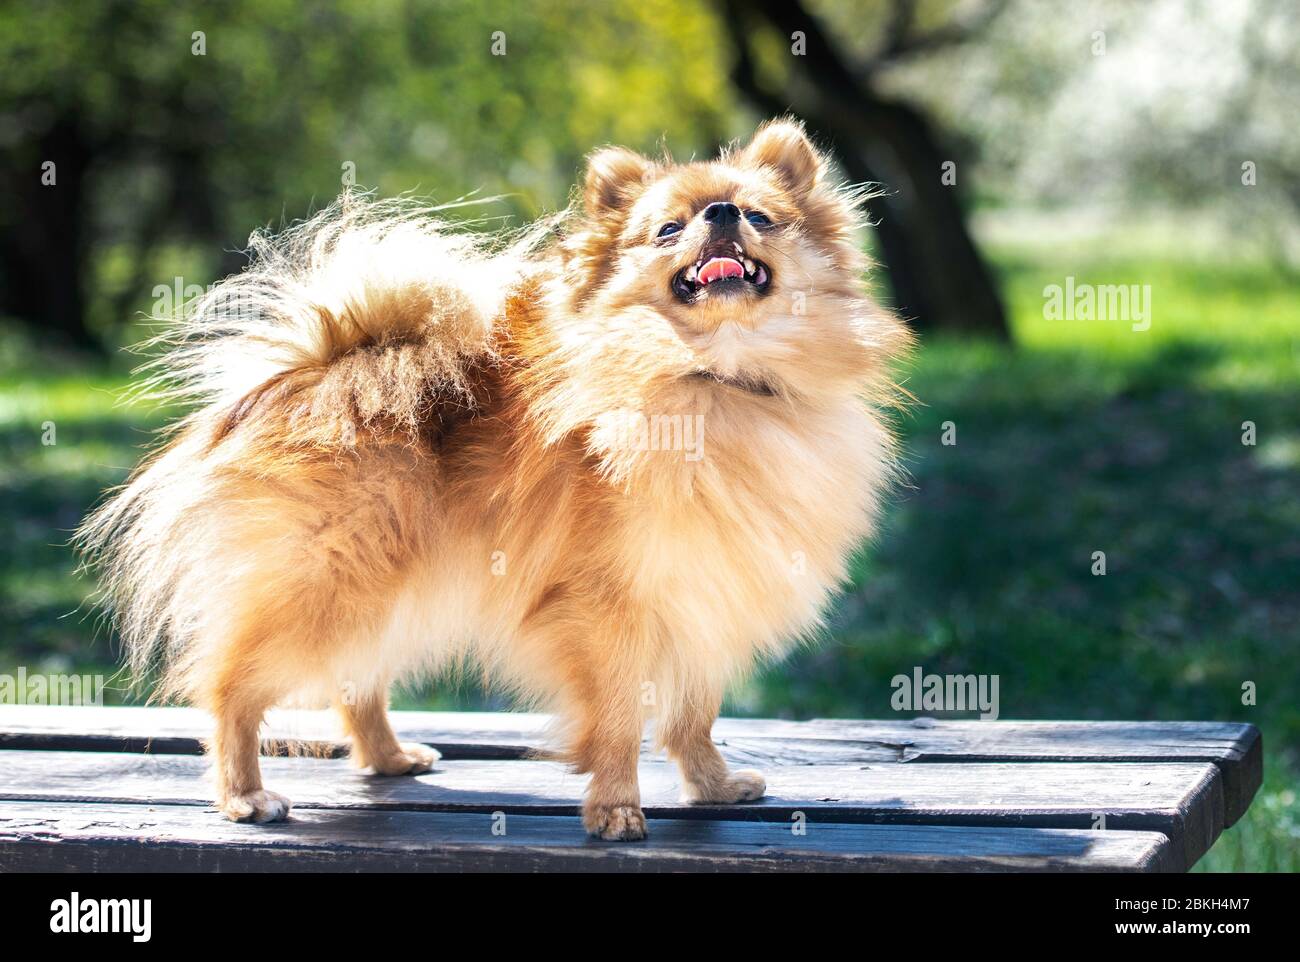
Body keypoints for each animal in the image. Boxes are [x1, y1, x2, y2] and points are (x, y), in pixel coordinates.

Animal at [81, 120, 909, 837]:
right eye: (668, 230)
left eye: (762, 217)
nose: (722, 211)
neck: (717, 379)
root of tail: (319, 370)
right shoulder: (611, 606)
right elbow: (617, 719)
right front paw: (616, 810)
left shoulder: (704, 591)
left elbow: (691, 713)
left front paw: (710, 784)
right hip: (332, 581)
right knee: (231, 687)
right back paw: (244, 795)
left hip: (391, 587)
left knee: (358, 681)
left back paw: (388, 758)